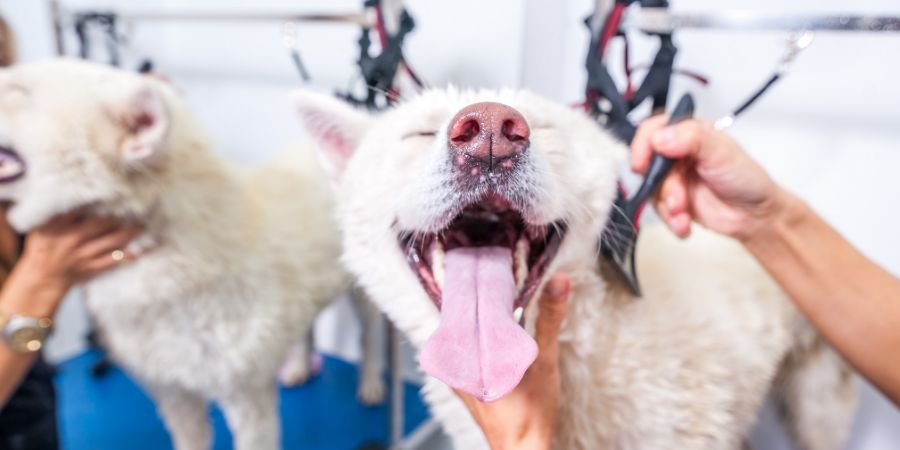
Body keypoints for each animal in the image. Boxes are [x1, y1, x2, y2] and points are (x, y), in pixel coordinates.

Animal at [0, 60, 384, 450]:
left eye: (19, 91)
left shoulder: (248, 399)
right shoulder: (174, 395)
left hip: (364, 299)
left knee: (368, 340)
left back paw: (370, 383)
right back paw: (301, 366)